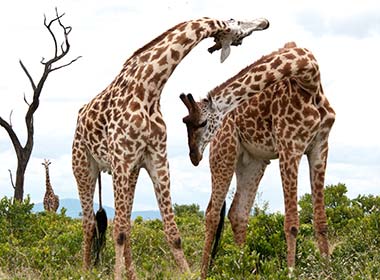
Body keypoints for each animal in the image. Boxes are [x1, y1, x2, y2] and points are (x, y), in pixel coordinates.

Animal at [70, 18, 268, 280]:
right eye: (237, 26)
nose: (264, 22)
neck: (149, 88)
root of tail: (80, 116)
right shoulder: (122, 159)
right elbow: (117, 230)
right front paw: (116, 276)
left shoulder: (157, 159)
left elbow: (172, 233)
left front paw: (187, 273)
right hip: (84, 165)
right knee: (90, 223)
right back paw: (85, 271)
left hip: (131, 171)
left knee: (124, 223)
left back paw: (132, 275)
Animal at [181, 42, 336, 278]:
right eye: (186, 122)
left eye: (201, 123)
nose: (193, 156)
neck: (310, 79)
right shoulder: (290, 146)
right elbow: (292, 223)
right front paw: (290, 273)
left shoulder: (320, 146)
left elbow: (321, 221)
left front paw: (328, 272)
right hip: (224, 153)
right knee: (212, 214)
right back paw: (205, 274)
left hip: (252, 162)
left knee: (238, 213)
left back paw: (242, 270)